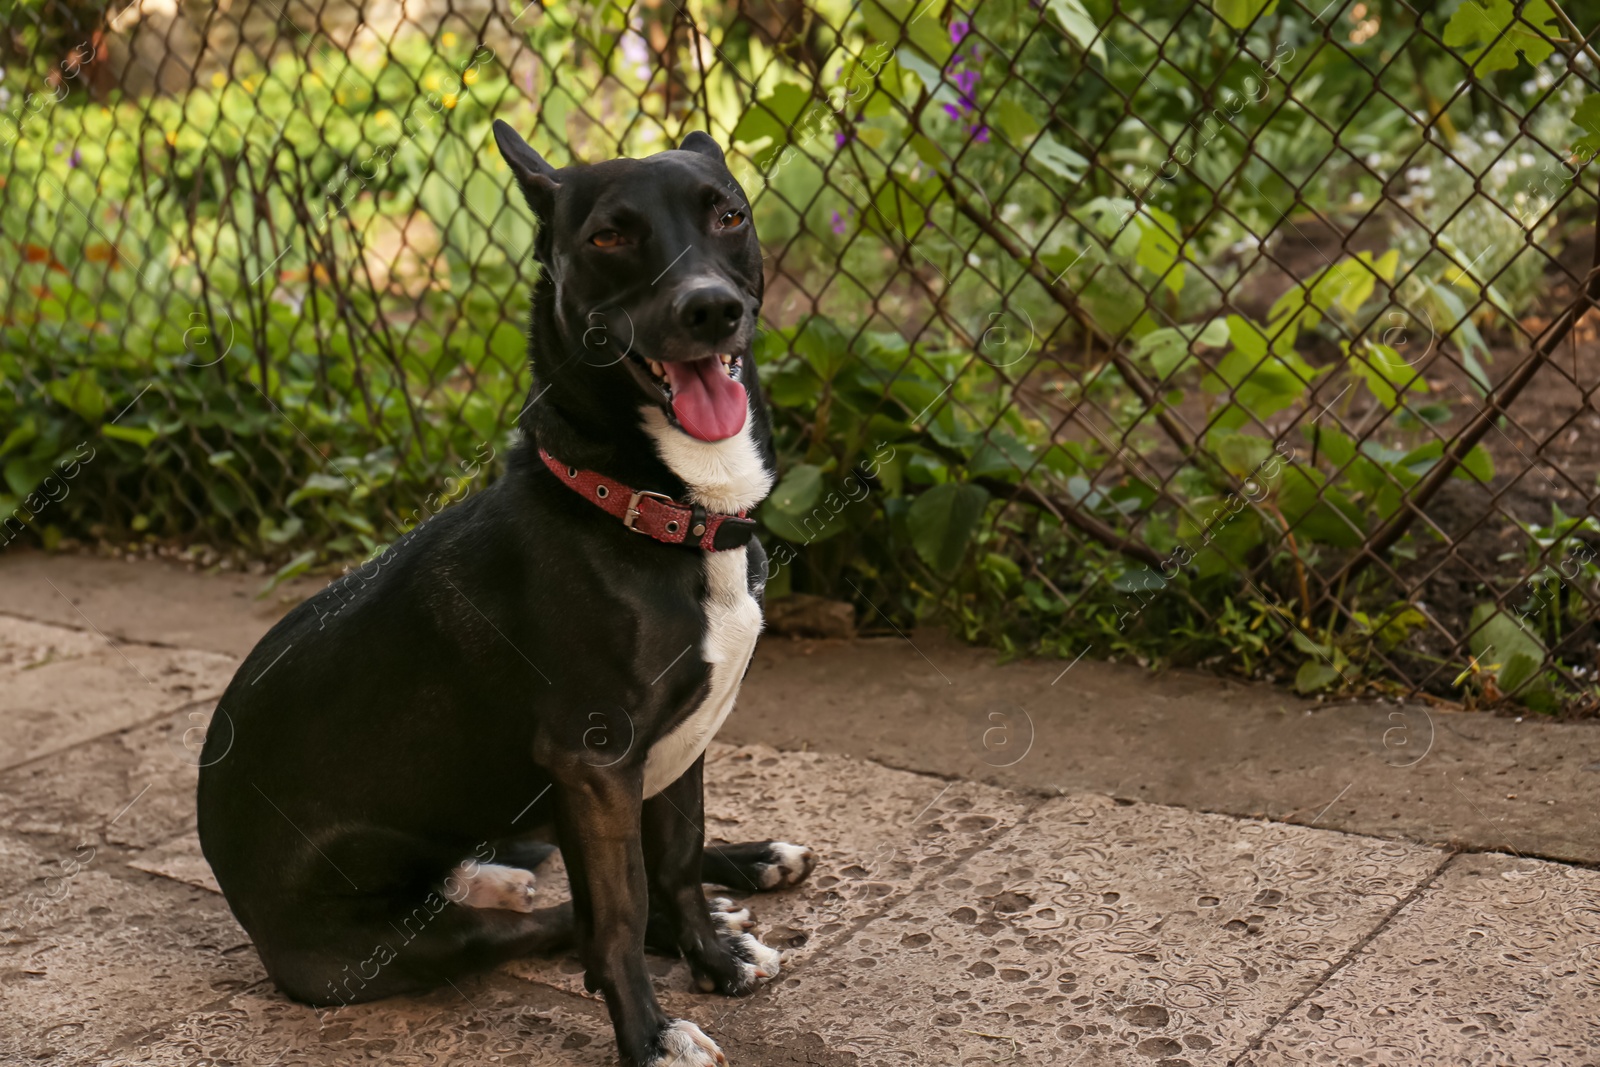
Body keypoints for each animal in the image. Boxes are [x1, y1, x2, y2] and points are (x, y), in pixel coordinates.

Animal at [201, 120, 819, 1062]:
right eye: (609, 237)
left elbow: (674, 860)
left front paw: (712, 958)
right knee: (547, 919)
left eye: (730, 214)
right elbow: (618, 912)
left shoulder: (677, 743)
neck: (644, 505)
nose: (711, 308)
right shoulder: (594, 762)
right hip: (394, 943)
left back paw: (746, 868)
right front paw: (652, 1031)